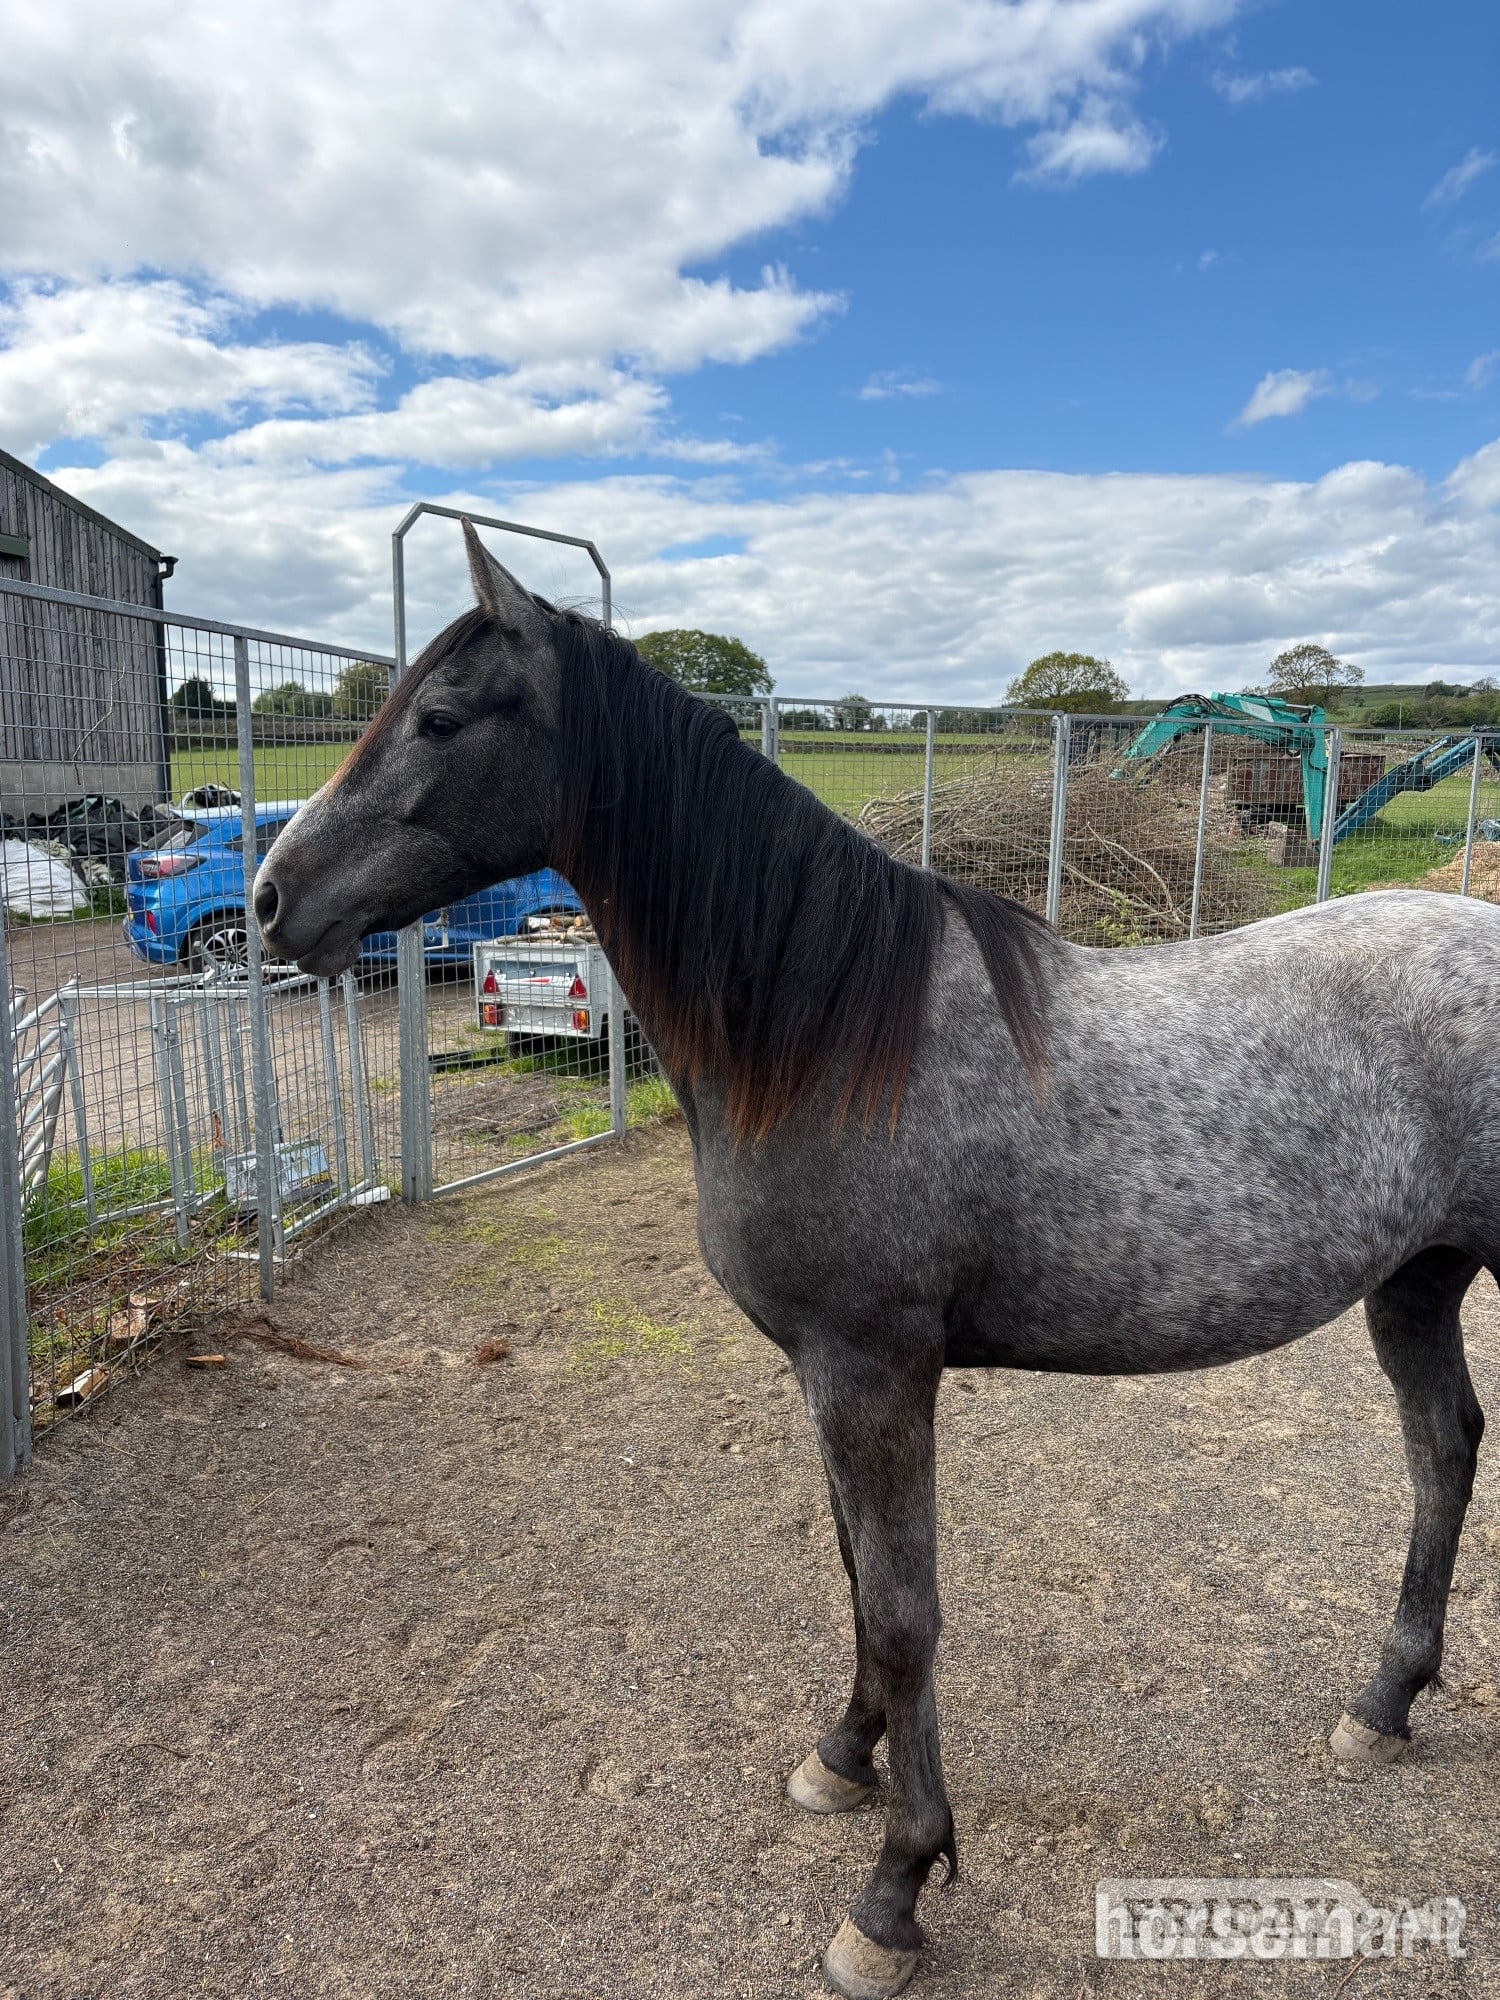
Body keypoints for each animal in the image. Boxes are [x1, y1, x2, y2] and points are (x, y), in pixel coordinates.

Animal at [254, 521, 1499, 1999]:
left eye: (440, 717)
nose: (271, 899)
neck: (834, 1036)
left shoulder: (875, 1372)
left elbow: (906, 1612)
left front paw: (896, 1888)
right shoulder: (824, 1374)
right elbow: (857, 1579)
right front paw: (842, 1759)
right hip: (1415, 1280)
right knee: (1443, 1448)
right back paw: (1385, 1701)